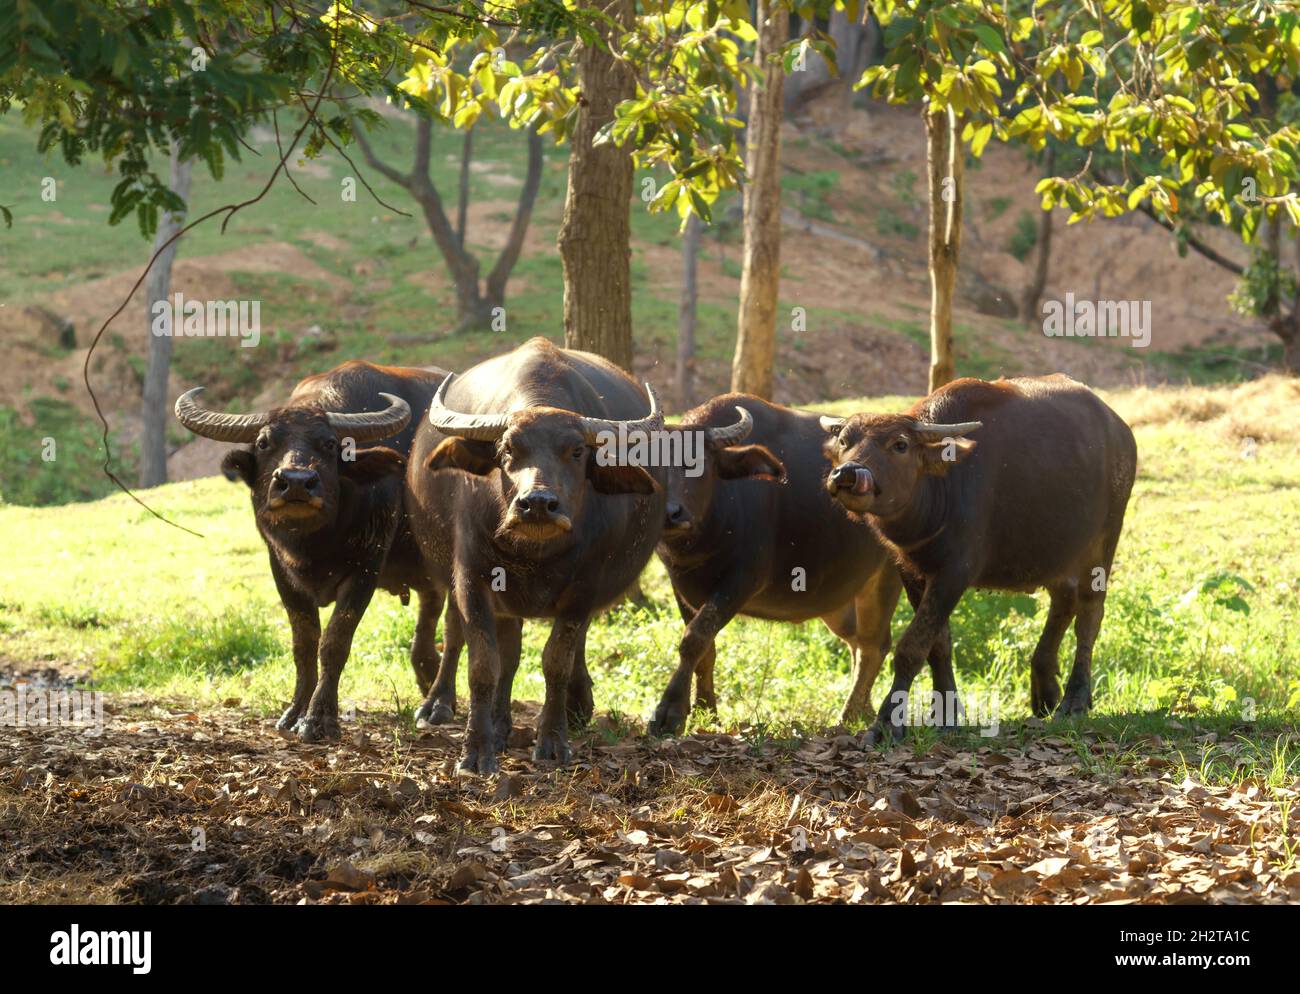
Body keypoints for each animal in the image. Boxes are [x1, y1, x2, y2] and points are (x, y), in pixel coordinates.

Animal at [175, 360, 450, 742]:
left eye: (330, 444)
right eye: (263, 442)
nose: (295, 483)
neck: (314, 543)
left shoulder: (366, 566)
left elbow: (334, 642)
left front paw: (320, 718)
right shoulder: (281, 570)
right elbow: (303, 643)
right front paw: (294, 712)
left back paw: (440, 704)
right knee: (430, 613)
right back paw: (427, 678)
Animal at [405, 338, 667, 774]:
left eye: (577, 451)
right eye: (507, 448)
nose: (539, 504)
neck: (534, 553)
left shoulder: (584, 588)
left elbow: (555, 660)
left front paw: (553, 741)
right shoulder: (472, 578)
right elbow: (484, 663)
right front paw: (476, 750)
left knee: (550, 650)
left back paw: (571, 707)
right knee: (466, 637)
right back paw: (443, 706)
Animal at [821, 374, 1137, 742]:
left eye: (900, 444)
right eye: (845, 441)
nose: (846, 474)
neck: (941, 490)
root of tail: (1120, 431)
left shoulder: (955, 572)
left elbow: (911, 647)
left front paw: (888, 721)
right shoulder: (912, 572)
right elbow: (938, 644)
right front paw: (946, 713)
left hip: (1103, 542)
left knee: (1089, 614)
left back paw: (1074, 699)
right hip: (1056, 552)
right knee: (1064, 601)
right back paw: (1044, 688)